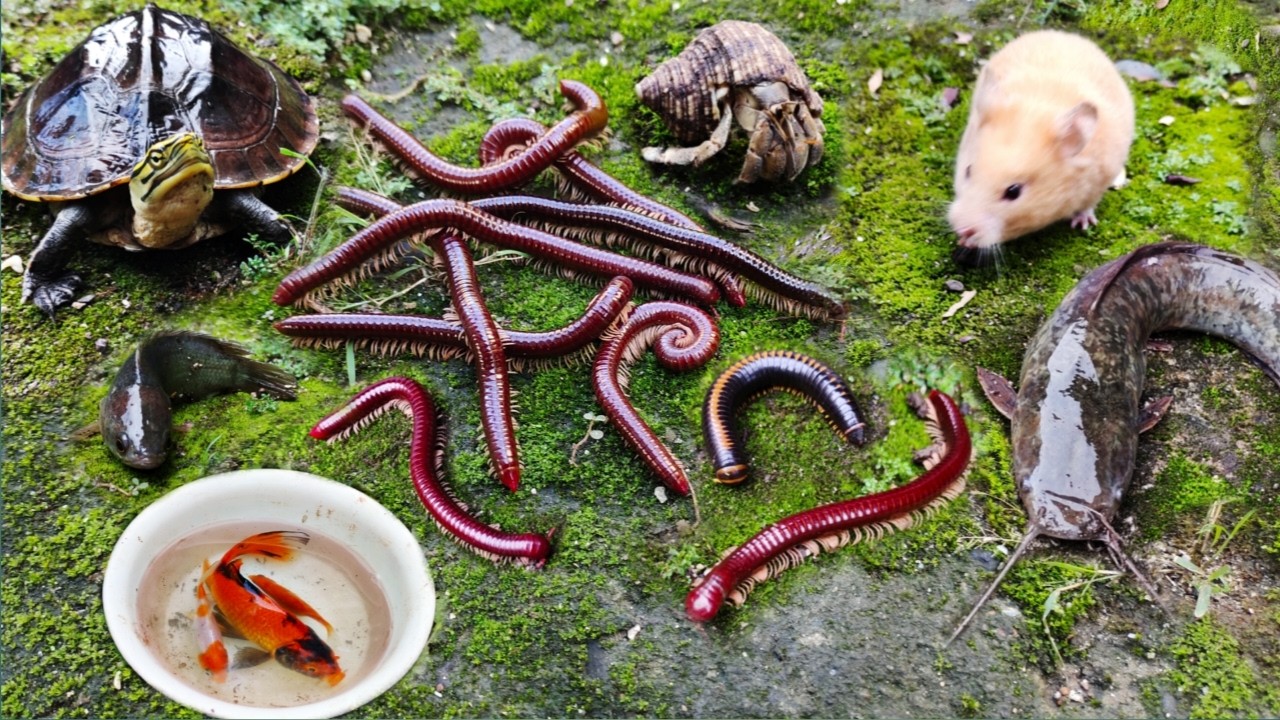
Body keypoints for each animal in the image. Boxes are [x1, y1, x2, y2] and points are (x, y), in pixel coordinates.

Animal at [948, 30, 1134, 263]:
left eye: (1014, 191)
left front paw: (1081, 224)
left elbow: (1088, 205)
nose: (962, 229)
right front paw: (963, 241)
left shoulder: (1099, 180)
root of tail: (1066, 35)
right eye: (968, 170)